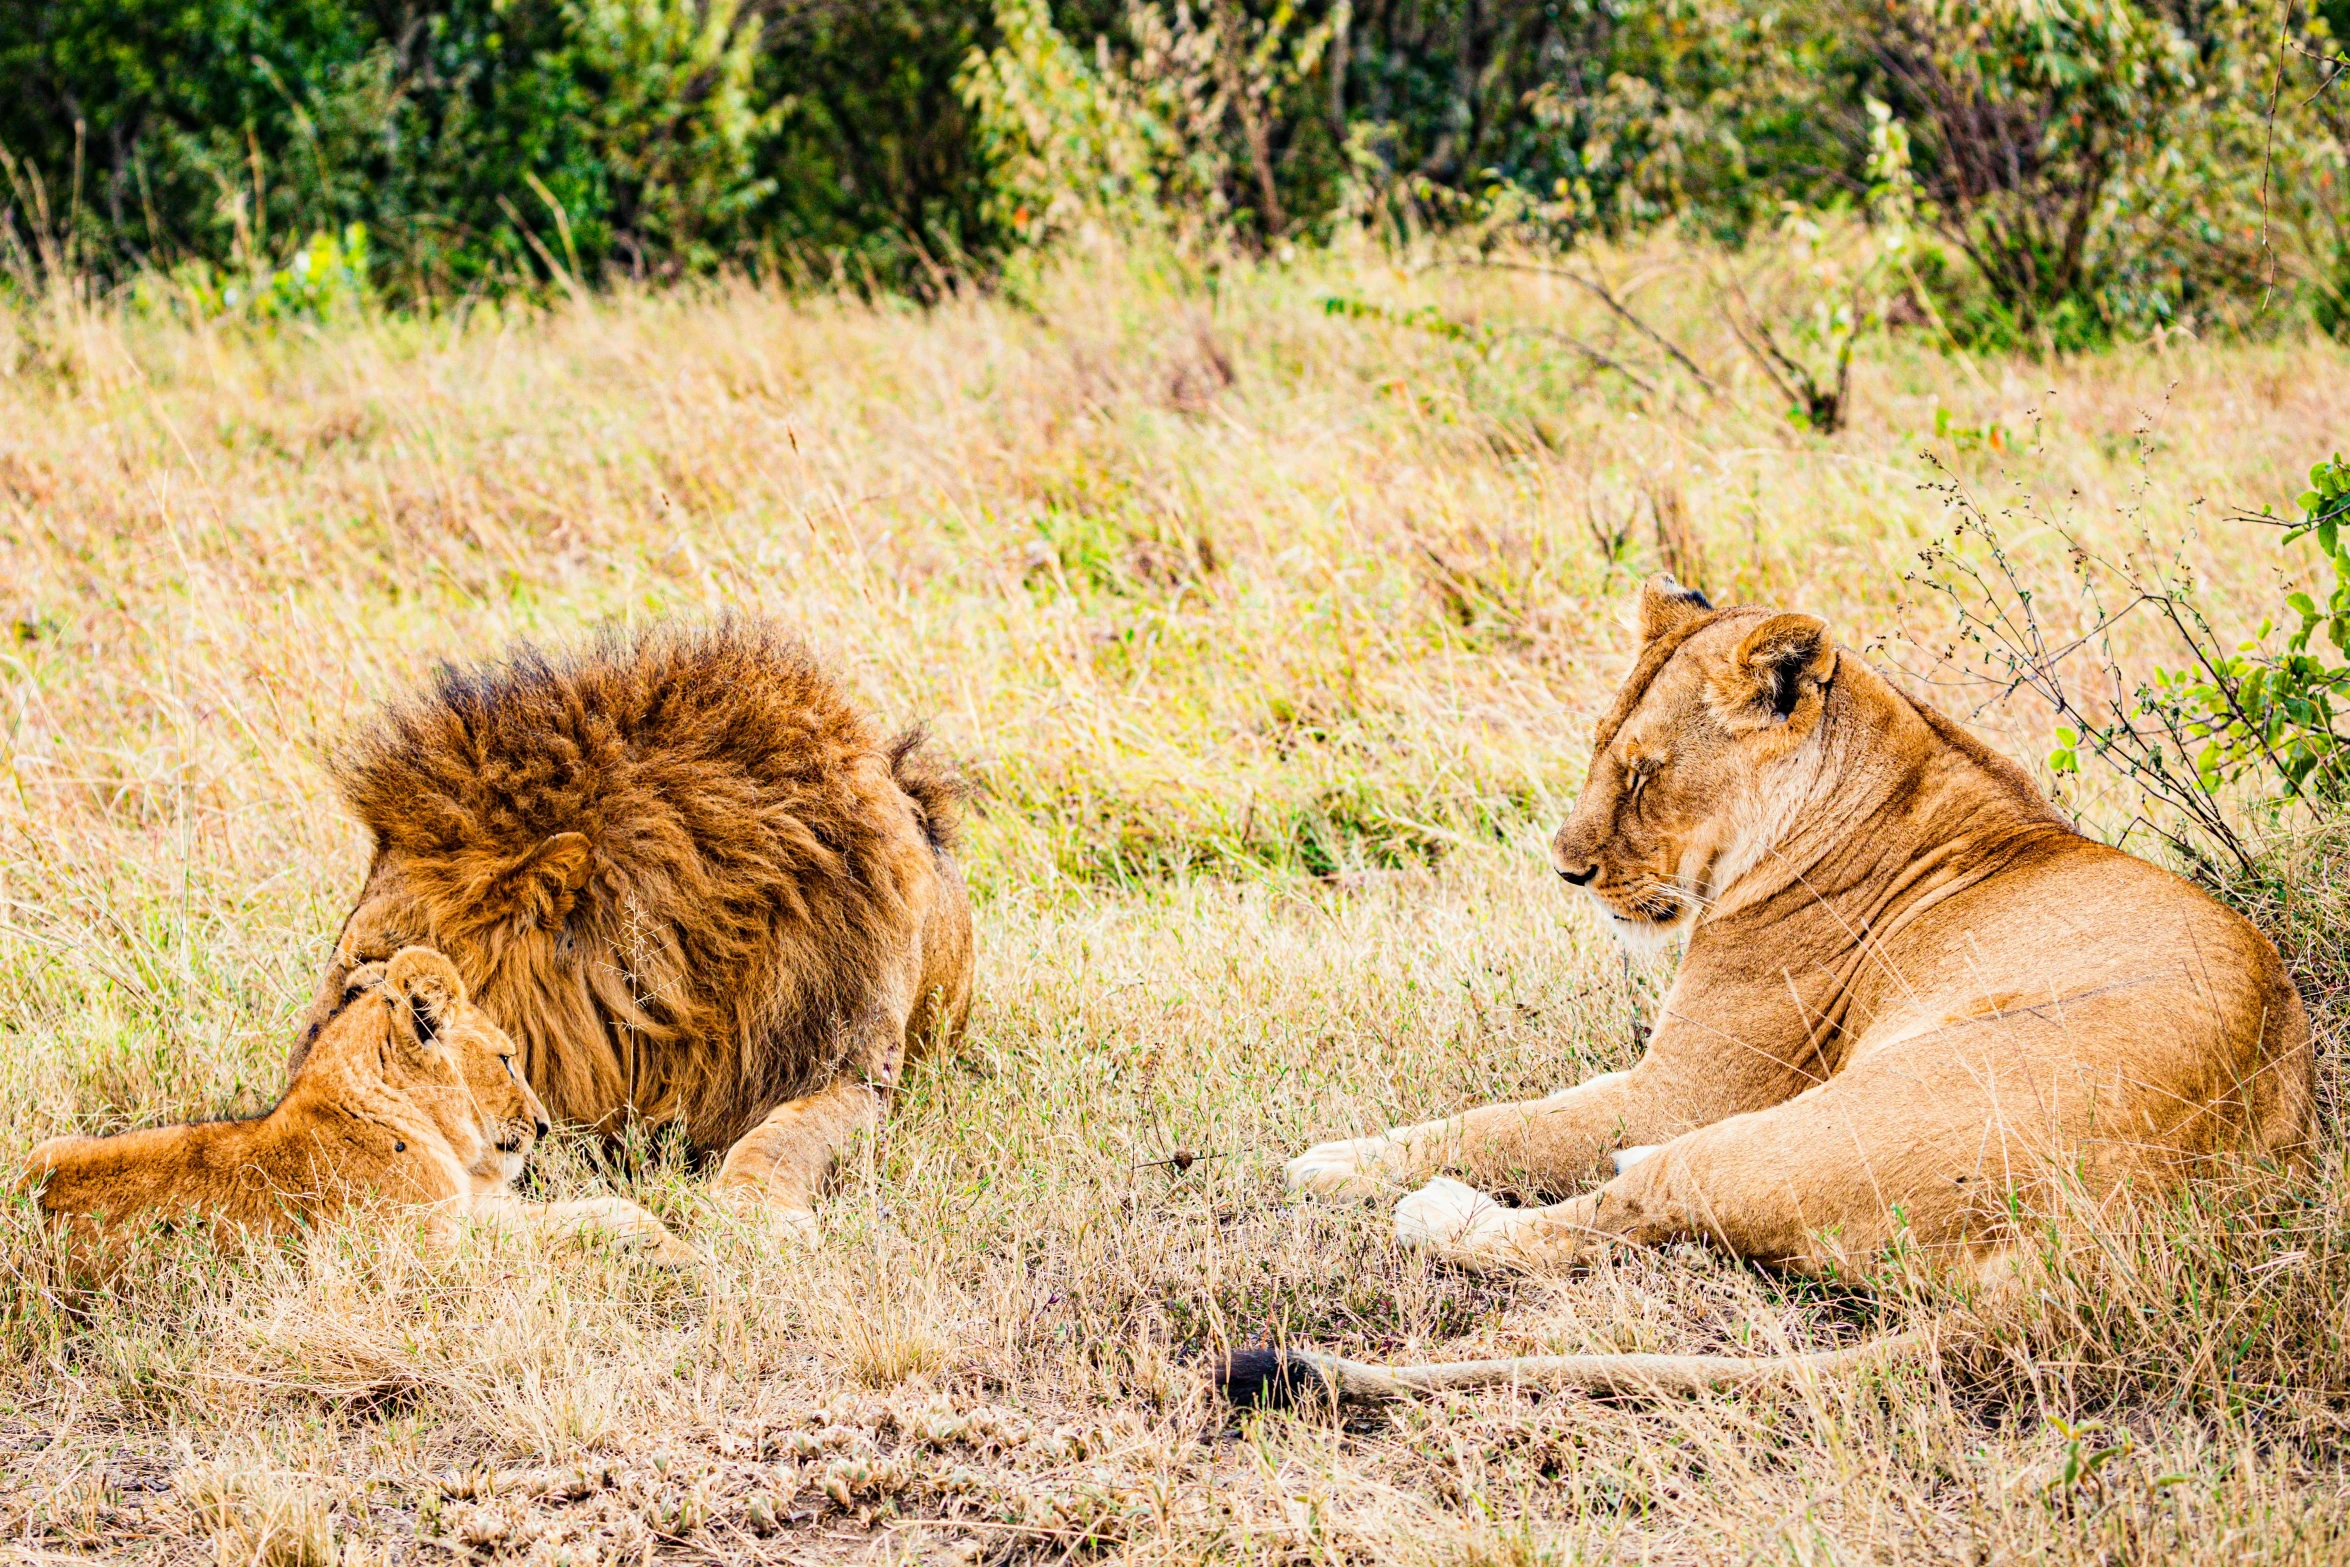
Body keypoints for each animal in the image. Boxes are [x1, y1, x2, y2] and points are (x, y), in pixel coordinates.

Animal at [27, 949, 686, 1268]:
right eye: (505, 1060)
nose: (544, 1126)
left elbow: (588, 1210)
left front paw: (663, 1237)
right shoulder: (426, 1253)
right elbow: (558, 1237)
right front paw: (665, 1247)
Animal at [1287, 575, 2312, 1287]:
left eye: (1644, 772)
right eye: (1599, 751)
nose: (1566, 870)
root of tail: (2126, 1232)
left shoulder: (1684, 1092)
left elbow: (1508, 1123)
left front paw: (1340, 1157)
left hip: (1806, 1125)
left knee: (1619, 1209)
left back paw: (1433, 1212)